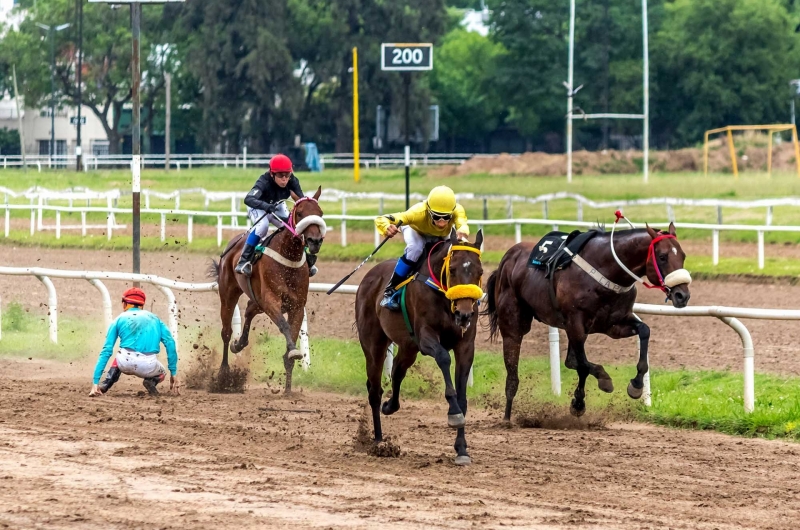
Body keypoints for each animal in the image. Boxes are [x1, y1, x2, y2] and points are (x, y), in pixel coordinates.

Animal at [212, 185, 328, 388]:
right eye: (300, 213)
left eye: (320, 213)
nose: (315, 241)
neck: (288, 258)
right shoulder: (271, 300)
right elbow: (284, 326)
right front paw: (293, 350)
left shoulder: (296, 306)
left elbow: (292, 337)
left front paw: (288, 389)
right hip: (228, 294)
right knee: (226, 332)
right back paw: (224, 372)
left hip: (257, 300)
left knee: (249, 309)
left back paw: (239, 344)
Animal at [484, 212, 692, 418]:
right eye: (663, 256)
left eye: (683, 256)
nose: (682, 295)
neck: (606, 271)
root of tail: (506, 259)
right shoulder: (575, 324)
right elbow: (583, 365)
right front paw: (581, 400)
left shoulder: (613, 324)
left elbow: (644, 331)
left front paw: (636, 385)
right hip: (514, 323)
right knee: (513, 370)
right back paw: (507, 416)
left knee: (570, 360)